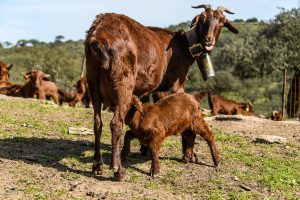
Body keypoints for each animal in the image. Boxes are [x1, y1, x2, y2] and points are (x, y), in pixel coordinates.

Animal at [85, 4, 239, 180]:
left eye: (222, 21)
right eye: (203, 19)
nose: (208, 40)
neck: (182, 46)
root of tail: (97, 36)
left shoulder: (154, 88)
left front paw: (144, 148)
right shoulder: (176, 83)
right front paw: (189, 154)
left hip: (92, 83)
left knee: (97, 123)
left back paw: (97, 166)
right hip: (123, 82)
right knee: (116, 123)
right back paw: (118, 170)